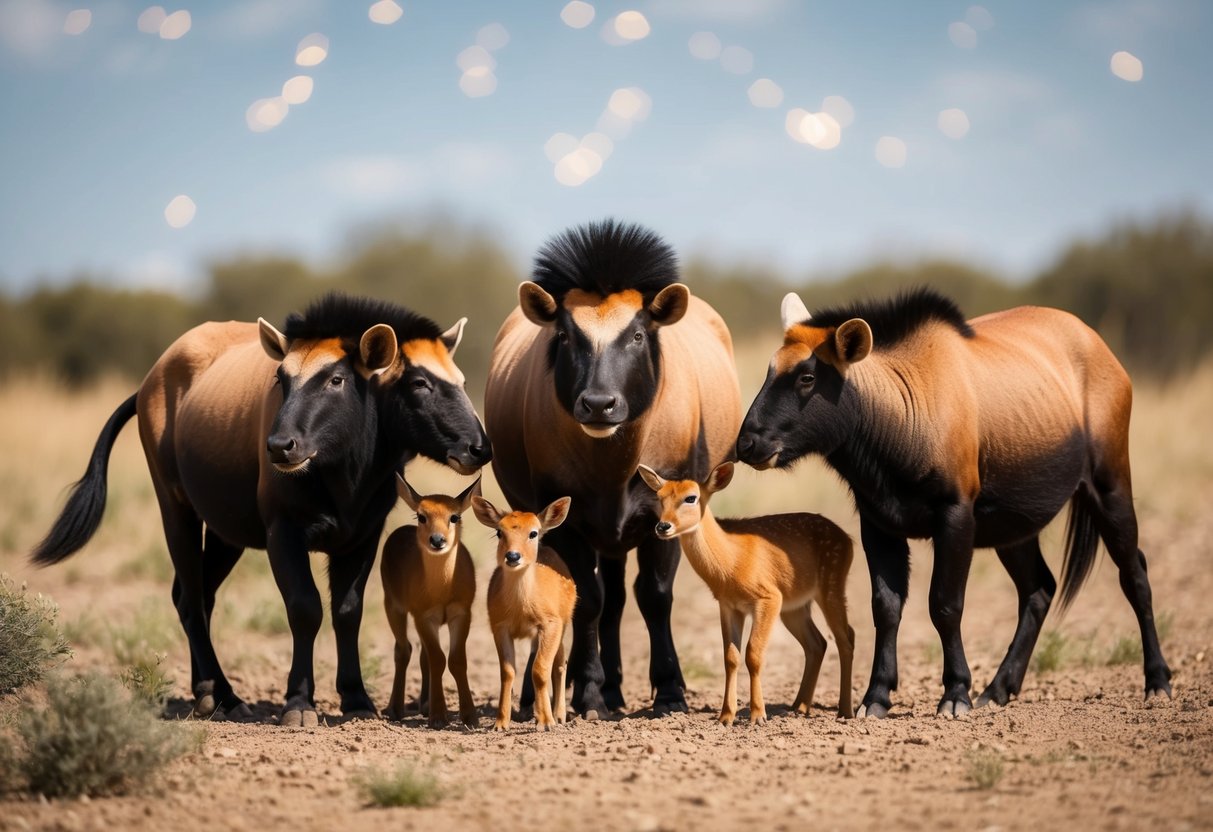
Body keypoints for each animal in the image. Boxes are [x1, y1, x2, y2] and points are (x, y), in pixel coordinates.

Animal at [378, 475, 477, 727]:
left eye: (455, 516)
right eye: (422, 516)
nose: (437, 540)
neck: (443, 588)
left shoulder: (461, 613)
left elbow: (456, 660)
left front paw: (470, 716)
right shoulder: (423, 616)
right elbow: (438, 660)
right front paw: (439, 716)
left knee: (421, 655)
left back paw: (423, 704)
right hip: (393, 606)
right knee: (403, 650)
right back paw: (395, 708)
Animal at [470, 499, 574, 732]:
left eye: (533, 532)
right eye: (499, 532)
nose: (512, 556)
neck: (521, 610)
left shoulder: (551, 622)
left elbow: (540, 669)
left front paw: (547, 723)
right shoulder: (499, 625)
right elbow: (507, 671)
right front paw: (500, 723)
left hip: (564, 622)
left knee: (560, 663)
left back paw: (559, 715)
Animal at [635, 465, 853, 727]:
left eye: (691, 497)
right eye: (660, 498)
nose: (663, 526)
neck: (731, 563)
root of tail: (849, 539)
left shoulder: (768, 596)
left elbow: (753, 654)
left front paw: (758, 715)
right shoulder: (729, 605)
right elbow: (730, 657)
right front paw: (725, 717)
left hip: (832, 582)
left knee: (846, 638)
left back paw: (846, 711)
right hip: (795, 606)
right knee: (817, 643)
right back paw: (798, 708)